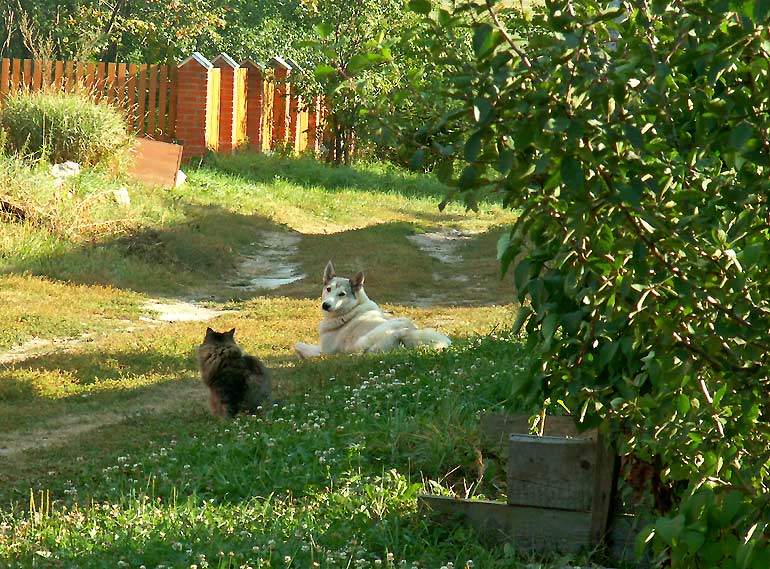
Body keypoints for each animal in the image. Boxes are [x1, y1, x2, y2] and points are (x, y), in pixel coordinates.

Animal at [294, 260, 450, 358]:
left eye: (342, 294)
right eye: (328, 289)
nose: (325, 305)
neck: (350, 311)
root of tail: (405, 333)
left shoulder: (325, 351)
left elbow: (298, 345)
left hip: (362, 341)